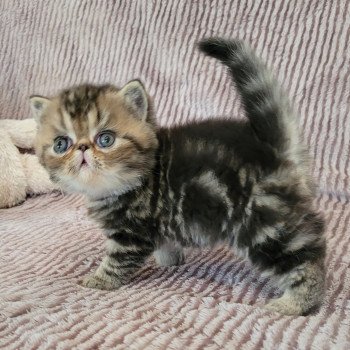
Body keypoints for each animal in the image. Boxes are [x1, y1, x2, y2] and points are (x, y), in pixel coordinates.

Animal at [30, 39, 326, 318]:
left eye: (106, 139)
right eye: (61, 144)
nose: (81, 148)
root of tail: (272, 149)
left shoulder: (131, 232)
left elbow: (117, 260)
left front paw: (99, 280)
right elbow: (164, 243)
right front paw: (169, 259)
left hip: (262, 223)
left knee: (306, 256)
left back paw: (295, 302)